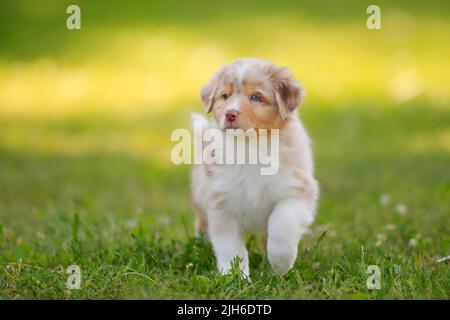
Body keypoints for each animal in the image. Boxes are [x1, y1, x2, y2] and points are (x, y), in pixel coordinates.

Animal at [192, 58, 318, 278]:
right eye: (225, 96)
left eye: (256, 97)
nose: (230, 113)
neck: (251, 148)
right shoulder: (221, 203)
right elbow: (231, 248)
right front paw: (235, 277)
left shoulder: (298, 192)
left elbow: (283, 222)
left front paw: (280, 263)